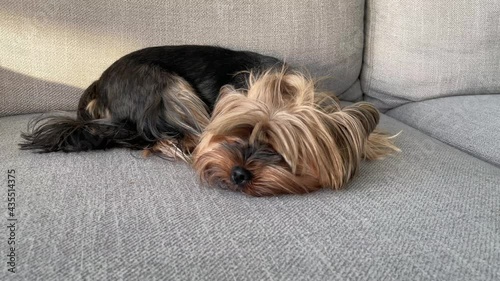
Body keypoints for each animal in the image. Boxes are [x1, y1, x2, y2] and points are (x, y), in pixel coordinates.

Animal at [21, 44, 400, 196]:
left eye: (281, 151)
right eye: (239, 133)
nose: (239, 173)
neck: (286, 94)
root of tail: (100, 82)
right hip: (165, 86)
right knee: (156, 134)